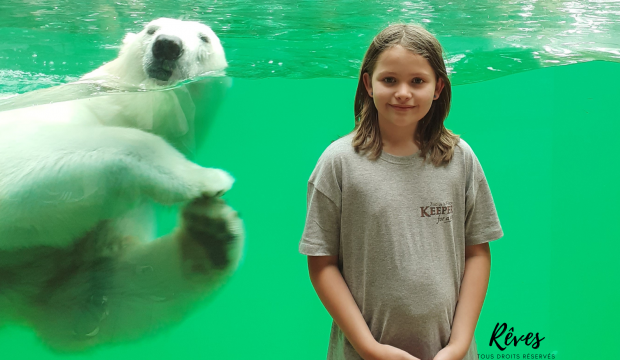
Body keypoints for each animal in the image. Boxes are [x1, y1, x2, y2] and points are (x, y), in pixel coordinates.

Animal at [0, 18, 245, 350]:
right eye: (152, 29)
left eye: (204, 37)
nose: (167, 46)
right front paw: (204, 177)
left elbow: (87, 297)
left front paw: (211, 233)